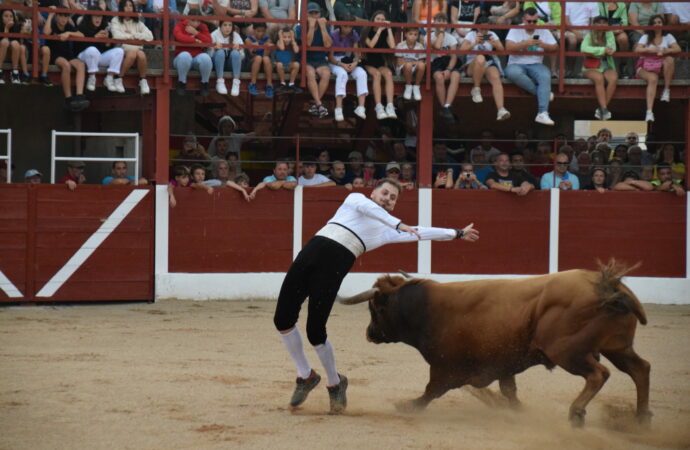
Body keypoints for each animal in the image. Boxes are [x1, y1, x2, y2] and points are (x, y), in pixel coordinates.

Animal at [338, 260, 652, 426]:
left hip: (568, 351)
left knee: (599, 374)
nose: (369, 332)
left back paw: (577, 413)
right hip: (617, 347)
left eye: (376, 308)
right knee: (641, 369)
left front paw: (407, 405)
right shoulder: (504, 363)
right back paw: (641, 418)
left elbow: (431, 390)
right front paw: (518, 411)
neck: (427, 309)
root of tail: (607, 285)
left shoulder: (445, 366)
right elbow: (508, 391)